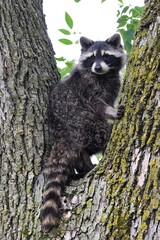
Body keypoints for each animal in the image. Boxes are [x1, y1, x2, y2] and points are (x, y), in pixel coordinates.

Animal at [41, 32, 126, 230]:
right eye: (92, 58)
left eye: (106, 56)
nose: (98, 67)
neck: (103, 75)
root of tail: (62, 132)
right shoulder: (85, 88)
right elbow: (99, 105)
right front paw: (110, 112)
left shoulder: (111, 84)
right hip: (82, 120)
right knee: (100, 131)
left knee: (80, 150)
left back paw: (84, 163)